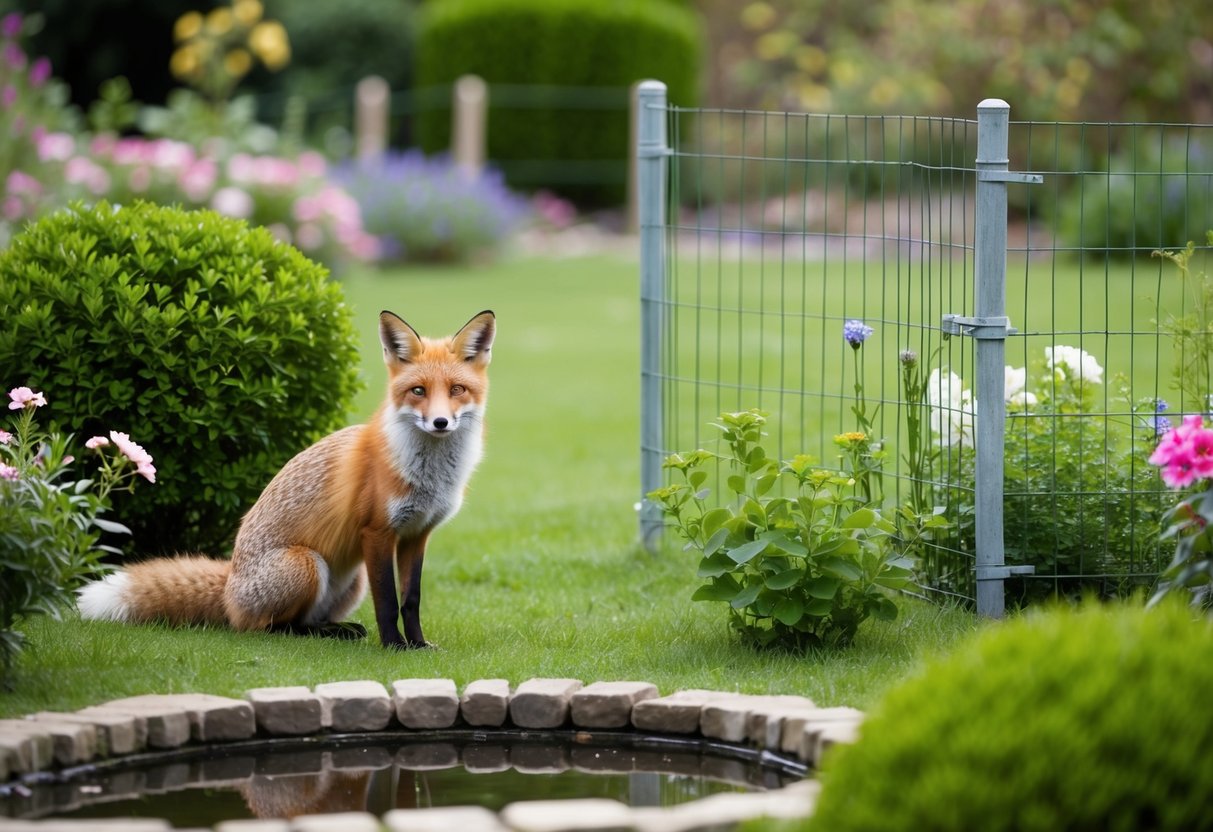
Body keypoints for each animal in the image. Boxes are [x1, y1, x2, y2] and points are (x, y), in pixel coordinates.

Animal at [77, 310, 495, 650]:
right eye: (418, 391)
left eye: (457, 390)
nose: (440, 422)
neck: (428, 476)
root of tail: (229, 586)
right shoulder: (377, 531)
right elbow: (389, 603)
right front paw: (394, 646)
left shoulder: (416, 534)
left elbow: (411, 600)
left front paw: (419, 645)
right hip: (306, 564)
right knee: (271, 628)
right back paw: (324, 634)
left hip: (352, 578)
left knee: (306, 620)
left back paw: (337, 630)